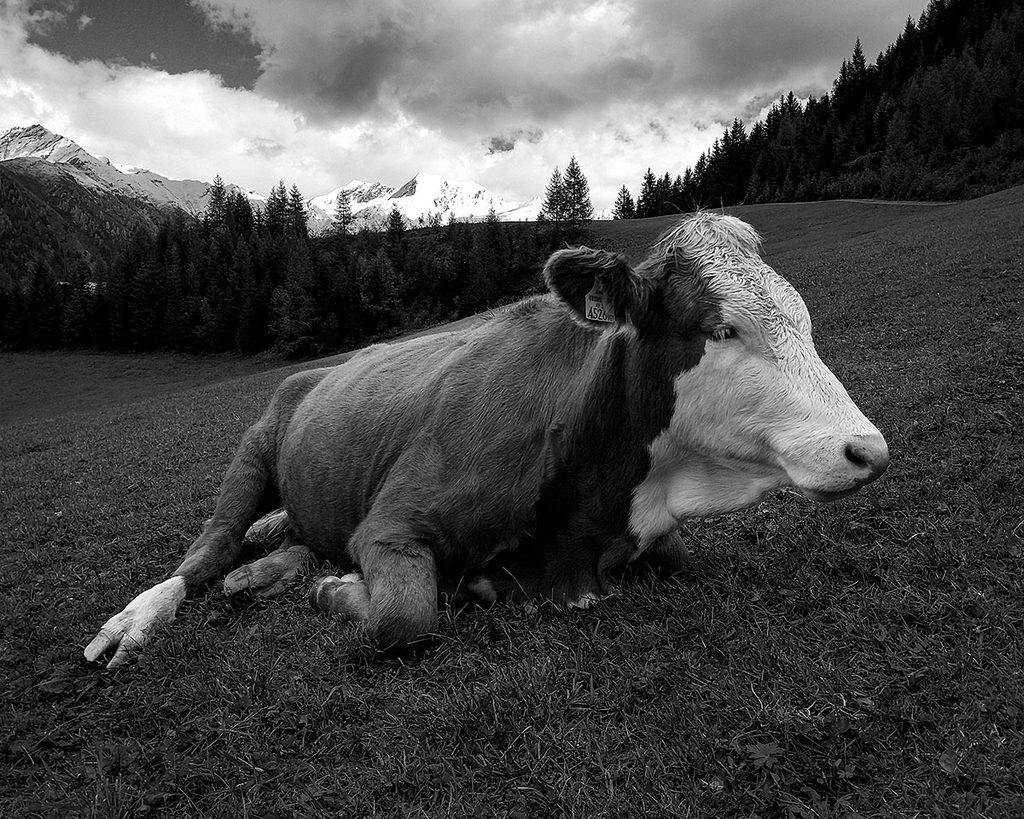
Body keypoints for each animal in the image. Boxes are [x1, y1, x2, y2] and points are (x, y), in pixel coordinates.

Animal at [84, 213, 889, 668]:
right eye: (721, 329)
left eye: (804, 316)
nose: (868, 450)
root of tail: (319, 368)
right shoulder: (392, 524)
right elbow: (405, 619)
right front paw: (340, 591)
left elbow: (689, 561)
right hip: (253, 445)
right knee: (211, 545)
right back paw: (139, 619)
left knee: (284, 539)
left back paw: (267, 570)